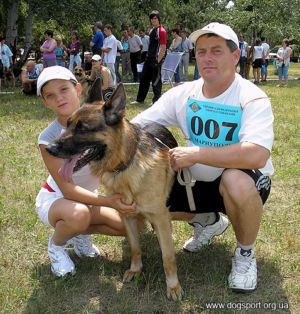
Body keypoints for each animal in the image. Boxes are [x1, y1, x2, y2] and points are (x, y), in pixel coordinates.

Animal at [46, 79, 183, 300]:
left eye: (83, 129)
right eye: (67, 124)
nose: (48, 148)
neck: (124, 166)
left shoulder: (161, 217)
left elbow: (168, 256)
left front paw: (173, 287)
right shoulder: (127, 217)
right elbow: (135, 248)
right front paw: (135, 270)